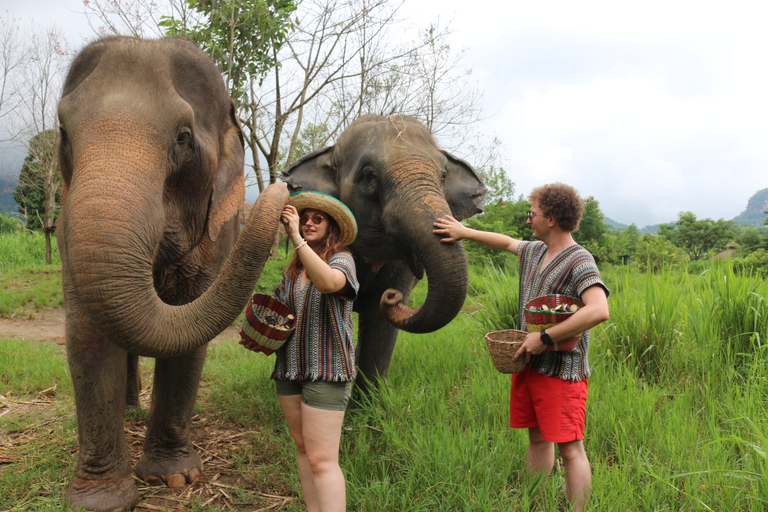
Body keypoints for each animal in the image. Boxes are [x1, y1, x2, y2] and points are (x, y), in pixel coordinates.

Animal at [54, 37, 288, 512]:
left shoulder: (220, 234)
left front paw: (175, 478)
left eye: (183, 138)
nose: (285, 187)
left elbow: (189, 333)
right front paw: (100, 500)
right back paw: (129, 409)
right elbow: (86, 334)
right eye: (64, 133)